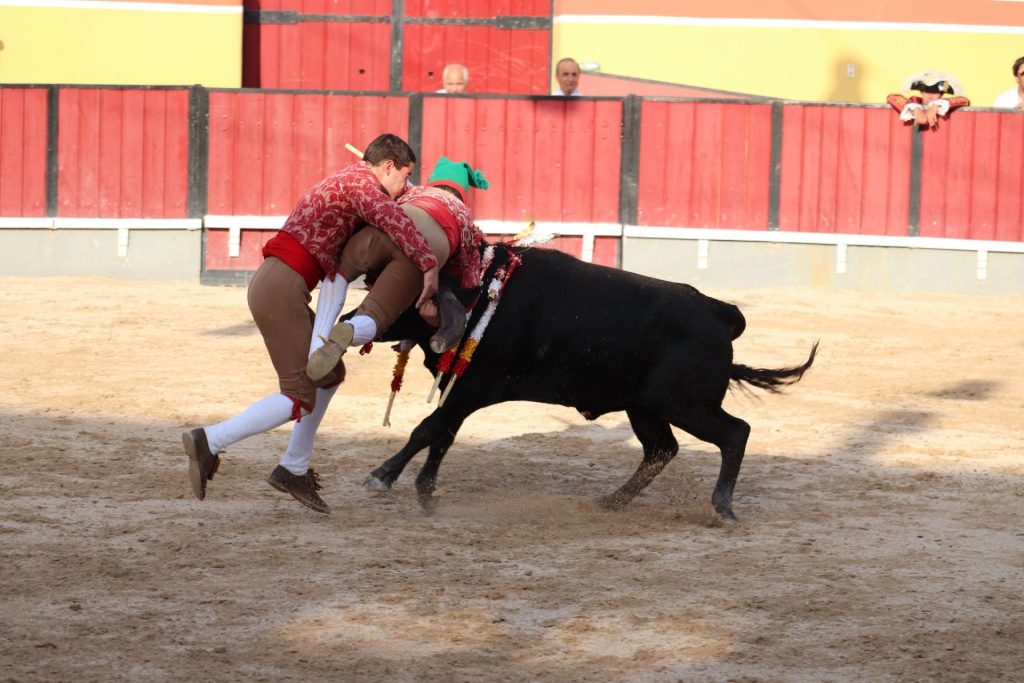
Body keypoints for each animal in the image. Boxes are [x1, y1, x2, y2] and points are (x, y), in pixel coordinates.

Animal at [359, 244, 817, 520]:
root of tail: (722, 313)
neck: (480, 296)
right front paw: (424, 492)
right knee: (661, 449)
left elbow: (428, 430)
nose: (352, 318)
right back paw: (611, 501)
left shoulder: (470, 391)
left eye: (399, 291)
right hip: (645, 407)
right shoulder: (459, 392)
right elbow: (442, 434)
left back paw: (722, 507)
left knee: (735, 432)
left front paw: (383, 476)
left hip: (684, 404)